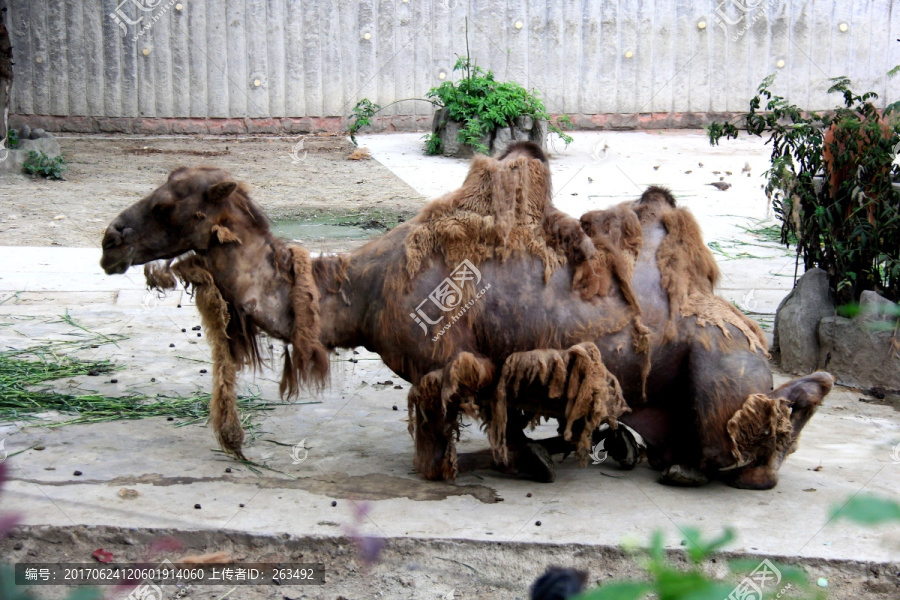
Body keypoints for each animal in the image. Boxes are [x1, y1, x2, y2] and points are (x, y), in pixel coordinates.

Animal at [98, 143, 828, 490]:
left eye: (172, 203)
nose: (109, 240)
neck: (360, 293)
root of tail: (751, 338)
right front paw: (540, 456)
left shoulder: (447, 365)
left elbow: (455, 438)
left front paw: (521, 462)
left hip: (720, 369)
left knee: (751, 453)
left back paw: (686, 465)